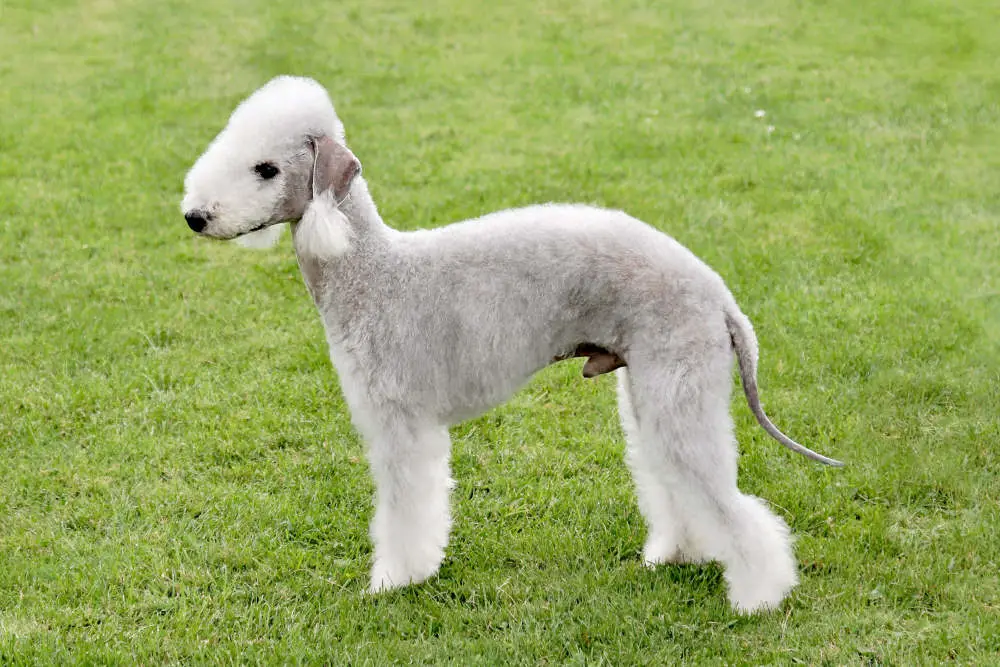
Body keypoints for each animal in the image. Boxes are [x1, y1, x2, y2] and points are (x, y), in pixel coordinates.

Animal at [182, 75, 844, 612]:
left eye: (267, 169)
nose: (195, 216)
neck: (369, 269)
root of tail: (720, 295)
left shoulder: (400, 421)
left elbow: (405, 509)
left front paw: (396, 580)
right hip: (652, 389)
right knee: (675, 481)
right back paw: (678, 555)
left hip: (678, 381)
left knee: (728, 502)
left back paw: (759, 597)